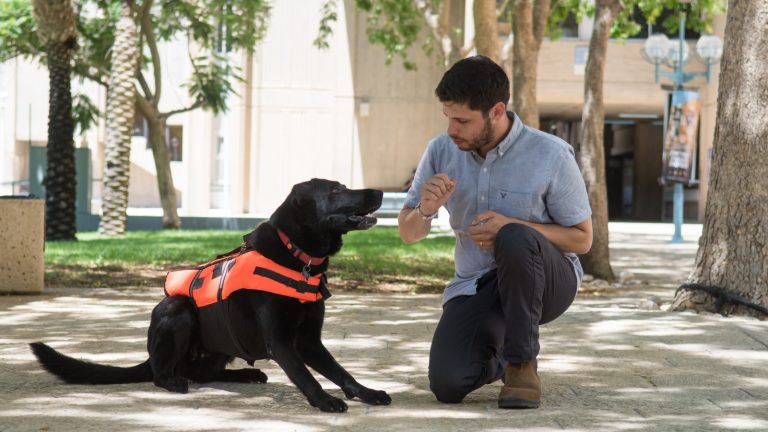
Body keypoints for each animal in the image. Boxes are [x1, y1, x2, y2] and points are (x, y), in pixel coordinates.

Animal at [29, 178, 390, 412]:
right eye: (336, 189)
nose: (380, 191)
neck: (298, 256)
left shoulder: (309, 341)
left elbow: (340, 371)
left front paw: (367, 392)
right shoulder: (282, 342)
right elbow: (306, 376)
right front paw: (325, 401)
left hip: (218, 346)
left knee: (204, 372)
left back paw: (246, 374)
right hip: (178, 310)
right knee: (163, 373)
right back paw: (174, 381)